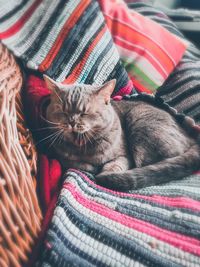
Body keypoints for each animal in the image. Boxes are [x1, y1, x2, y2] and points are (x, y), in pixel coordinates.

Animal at [42, 75, 200, 192]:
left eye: (84, 113)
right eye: (62, 112)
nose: (72, 122)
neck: (83, 145)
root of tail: (192, 138)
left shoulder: (124, 156)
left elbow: (114, 166)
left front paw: (105, 171)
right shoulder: (62, 156)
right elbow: (76, 163)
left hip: (139, 119)